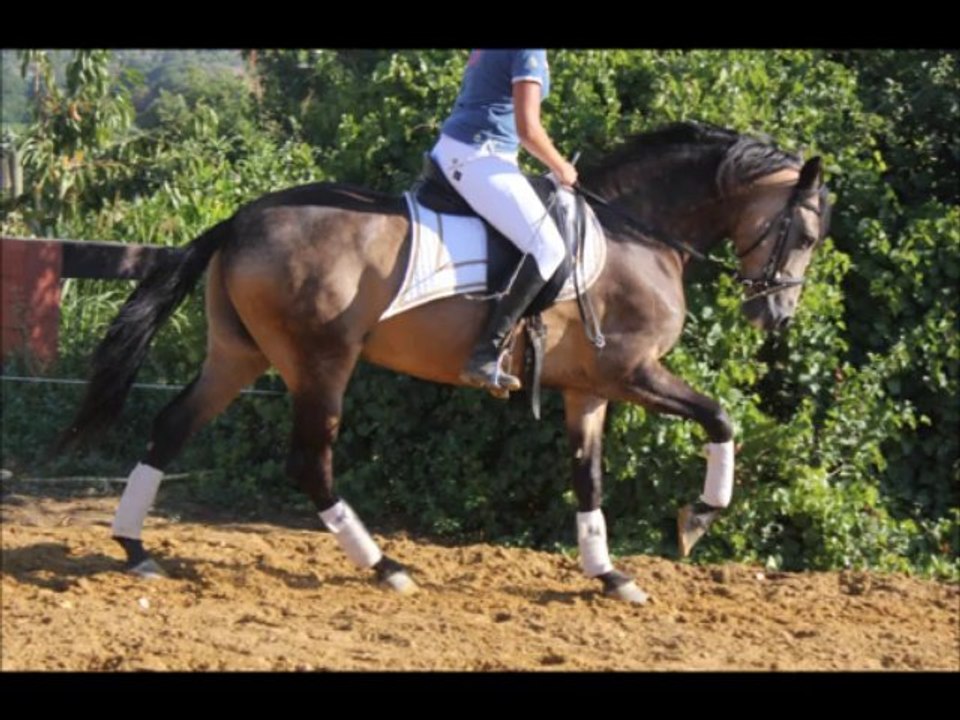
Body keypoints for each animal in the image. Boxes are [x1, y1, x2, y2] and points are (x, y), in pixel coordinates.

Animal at [61, 121, 831, 604]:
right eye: (806, 233)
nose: (775, 314)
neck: (636, 232)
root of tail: (243, 218)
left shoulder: (589, 389)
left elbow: (587, 479)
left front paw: (610, 575)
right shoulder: (632, 373)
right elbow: (720, 418)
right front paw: (697, 519)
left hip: (239, 353)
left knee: (171, 427)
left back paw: (136, 550)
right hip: (320, 361)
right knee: (310, 462)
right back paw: (387, 567)